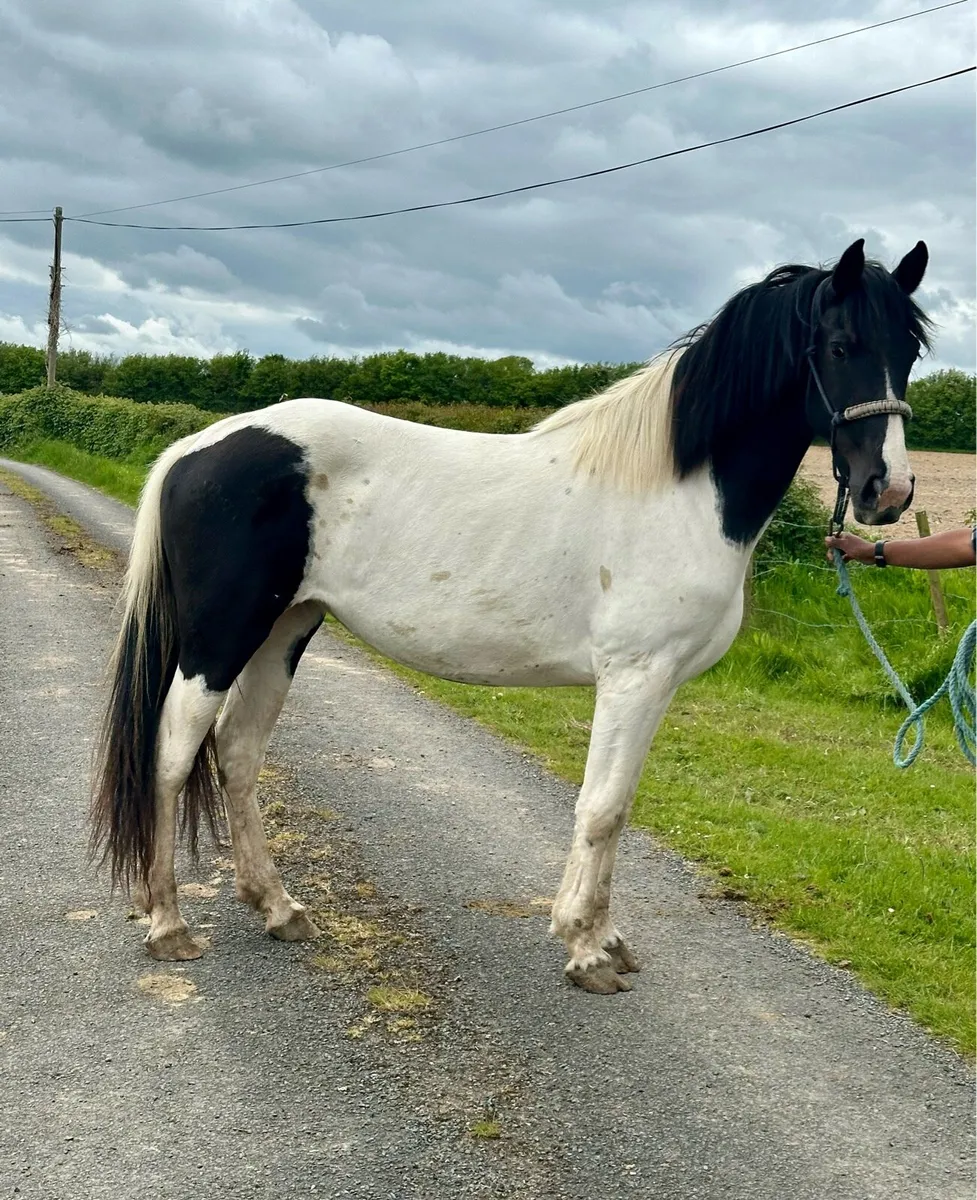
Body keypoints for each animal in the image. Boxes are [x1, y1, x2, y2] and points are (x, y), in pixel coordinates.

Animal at [92, 237, 930, 993]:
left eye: (911, 351)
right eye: (840, 344)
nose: (886, 491)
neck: (676, 490)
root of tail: (196, 447)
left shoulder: (655, 686)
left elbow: (617, 806)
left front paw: (602, 938)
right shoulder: (634, 677)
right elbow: (601, 808)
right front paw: (587, 950)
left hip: (286, 627)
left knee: (237, 751)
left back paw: (279, 909)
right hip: (219, 637)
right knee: (173, 753)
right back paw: (169, 925)